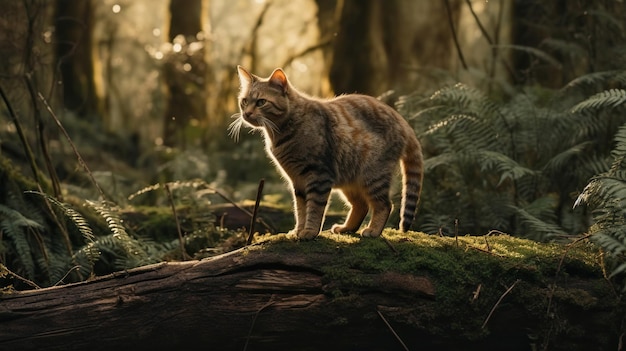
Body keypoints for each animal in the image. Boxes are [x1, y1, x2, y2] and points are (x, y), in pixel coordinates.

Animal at [230, 66, 424, 241]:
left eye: (261, 102)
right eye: (244, 101)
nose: (246, 113)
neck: (281, 133)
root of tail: (401, 119)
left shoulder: (318, 175)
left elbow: (314, 208)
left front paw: (309, 231)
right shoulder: (297, 181)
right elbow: (300, 210)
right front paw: (298, 230)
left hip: (373, 176)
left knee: (385, 205)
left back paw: (373, 230)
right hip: (350, 181)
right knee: (361, 205)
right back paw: (346, 228)